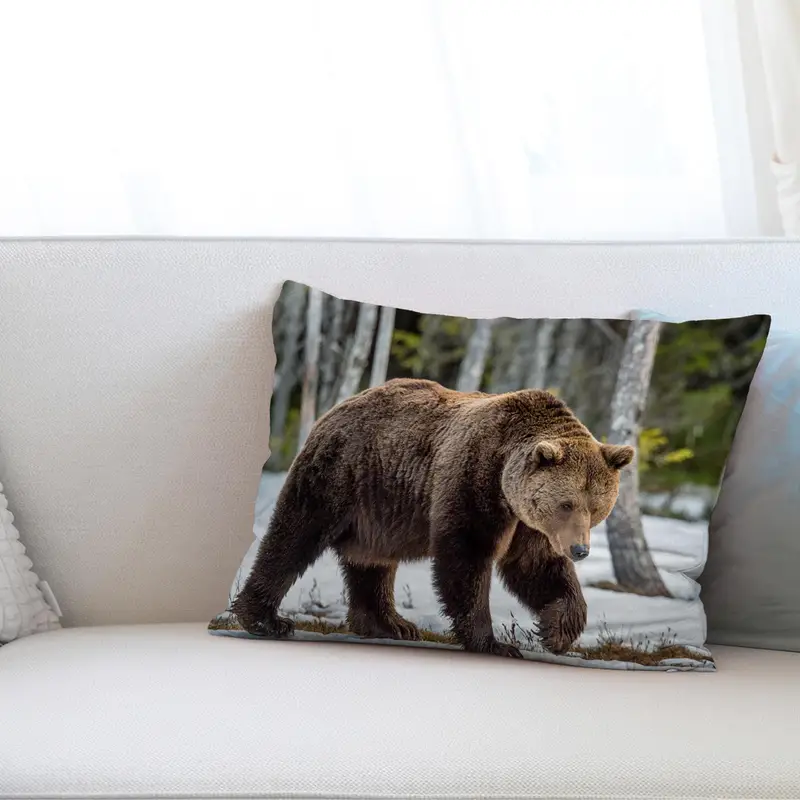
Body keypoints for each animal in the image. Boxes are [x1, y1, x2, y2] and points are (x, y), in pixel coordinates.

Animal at [232, 378, 634, 658]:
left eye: (596, 507)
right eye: (567, 503)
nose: (580, 550)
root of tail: (339, 405)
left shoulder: (528, 522)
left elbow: (536, 567)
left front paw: (556, 631)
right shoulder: (474, 479)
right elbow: (466, 557)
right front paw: (493, 642)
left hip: (379, 511)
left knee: (371, 562)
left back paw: (390, 623)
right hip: (343, 474)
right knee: (295, 535)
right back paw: (266, 619)